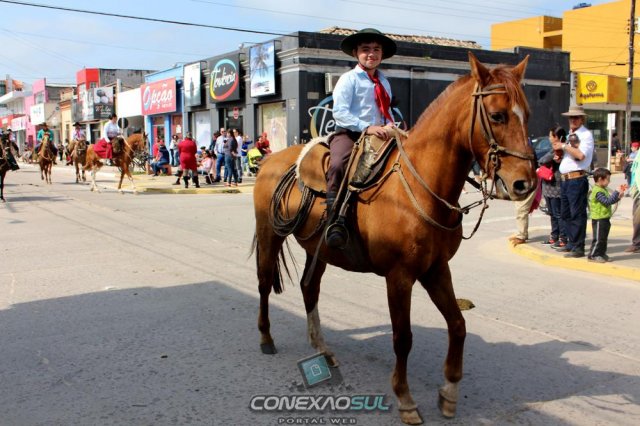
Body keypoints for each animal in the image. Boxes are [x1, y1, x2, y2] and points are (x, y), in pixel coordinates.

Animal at [251, 53, 536, 425]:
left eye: (527, 114)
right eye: (498, 115)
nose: (524, 184)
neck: (418, 186)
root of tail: (272, 159)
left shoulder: (436, 269)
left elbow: (458, 325)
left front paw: (449, 392)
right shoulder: (399, 276)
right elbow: (403, 337)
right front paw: (405, 399)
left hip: (320, 248)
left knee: (308, 288)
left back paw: (323, 350)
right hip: (270, 233)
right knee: (264, 282)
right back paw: (266, 337)